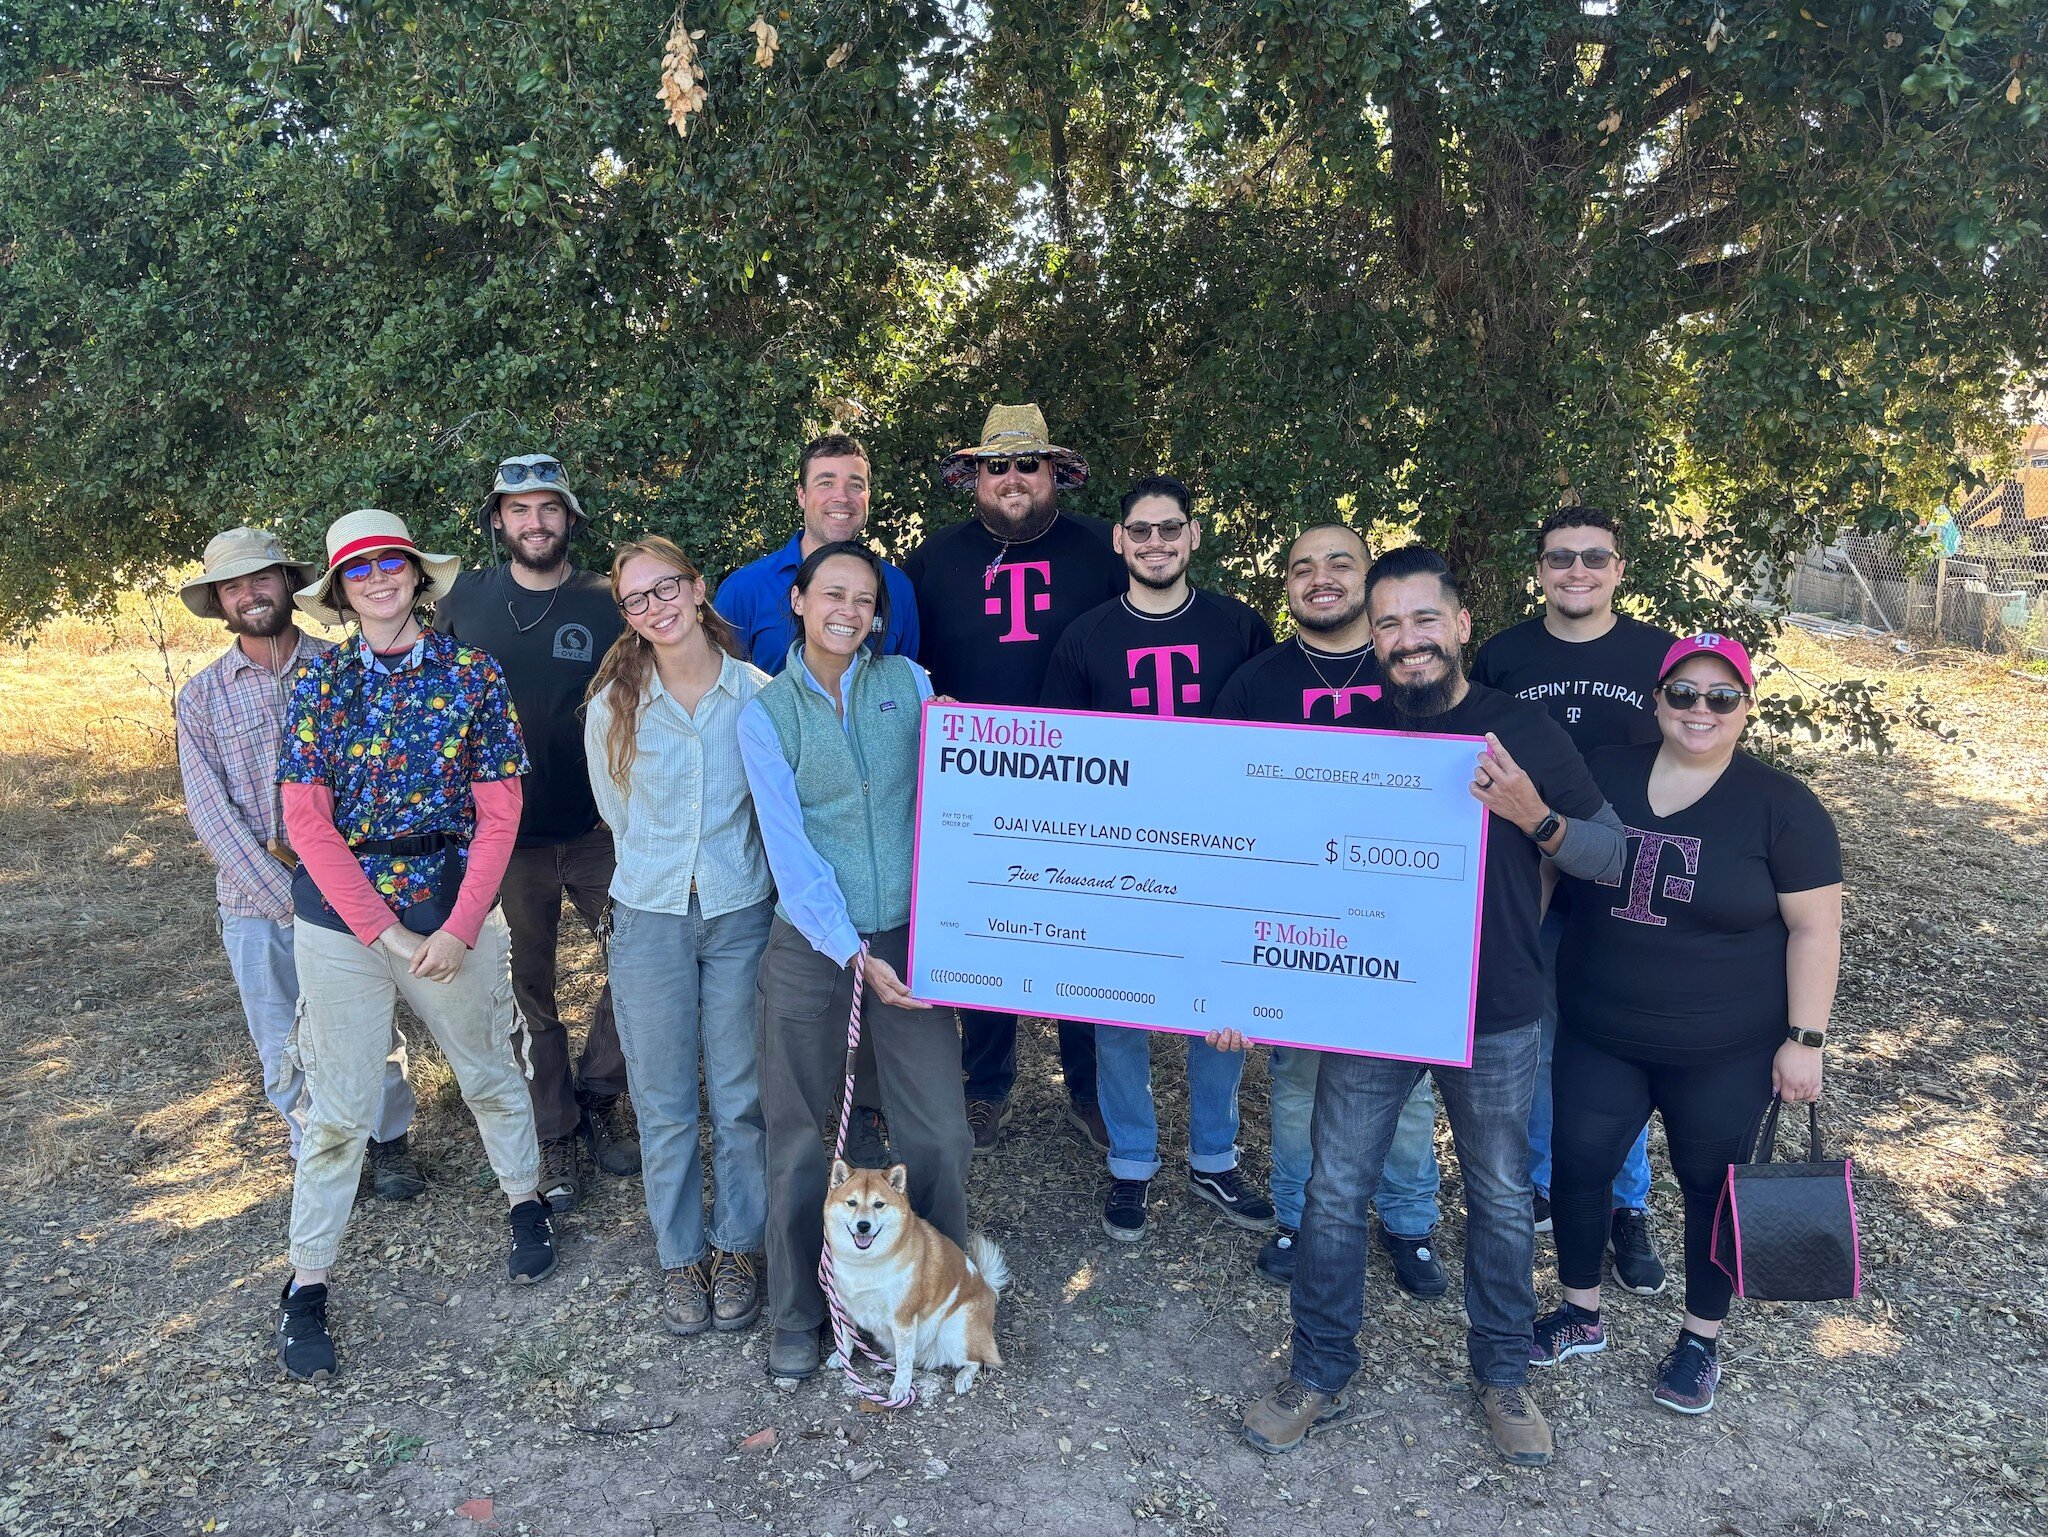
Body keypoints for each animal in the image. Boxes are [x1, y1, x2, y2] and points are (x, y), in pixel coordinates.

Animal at [815, 1164, 1007, 1401]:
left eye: (879, 1204)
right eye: (852, 1203)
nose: (863, 1226)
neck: (867, 1263)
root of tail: (989, 1290)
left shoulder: (903, 1319)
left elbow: (905, 1360)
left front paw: (901, 1387)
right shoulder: (844, 1305)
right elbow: (846, 1337)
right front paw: (840, 1356)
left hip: (953, 1330)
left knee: (976, 1360)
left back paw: (963, 1378)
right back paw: (886, 1363)